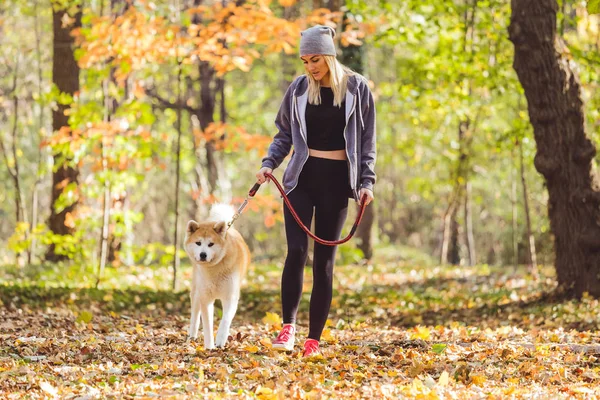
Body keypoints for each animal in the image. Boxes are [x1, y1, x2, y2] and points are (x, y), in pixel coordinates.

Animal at [182, 205, 250, 348]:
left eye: (211, 244)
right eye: (198, 243)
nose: (203, 254)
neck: (215, 270)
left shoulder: (230, 297)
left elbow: (225, 320)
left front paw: (220, 339)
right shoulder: (206, 298)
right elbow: (207, 326)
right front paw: (209, 346)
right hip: (196, 292)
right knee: (195, 315)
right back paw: (192, 335)